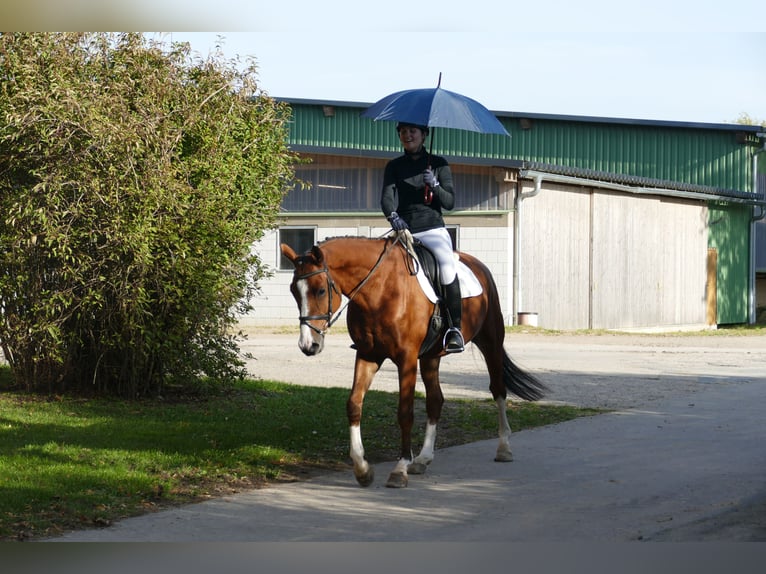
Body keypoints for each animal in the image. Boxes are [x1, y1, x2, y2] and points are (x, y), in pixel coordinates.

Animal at [282, 234, 544, 490]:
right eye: (294, 291)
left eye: (320, 291)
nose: (308, 345)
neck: (379, 289)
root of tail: (479, 265)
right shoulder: (368, 355)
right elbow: (354, 404)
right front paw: (362, 469)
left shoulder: (406, 359)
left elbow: (405, 412)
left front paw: (399, 469)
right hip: (431, 357)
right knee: (435, 400)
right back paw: (423, 459)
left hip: (490, 341)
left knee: (498, 389)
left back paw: (504, 448)